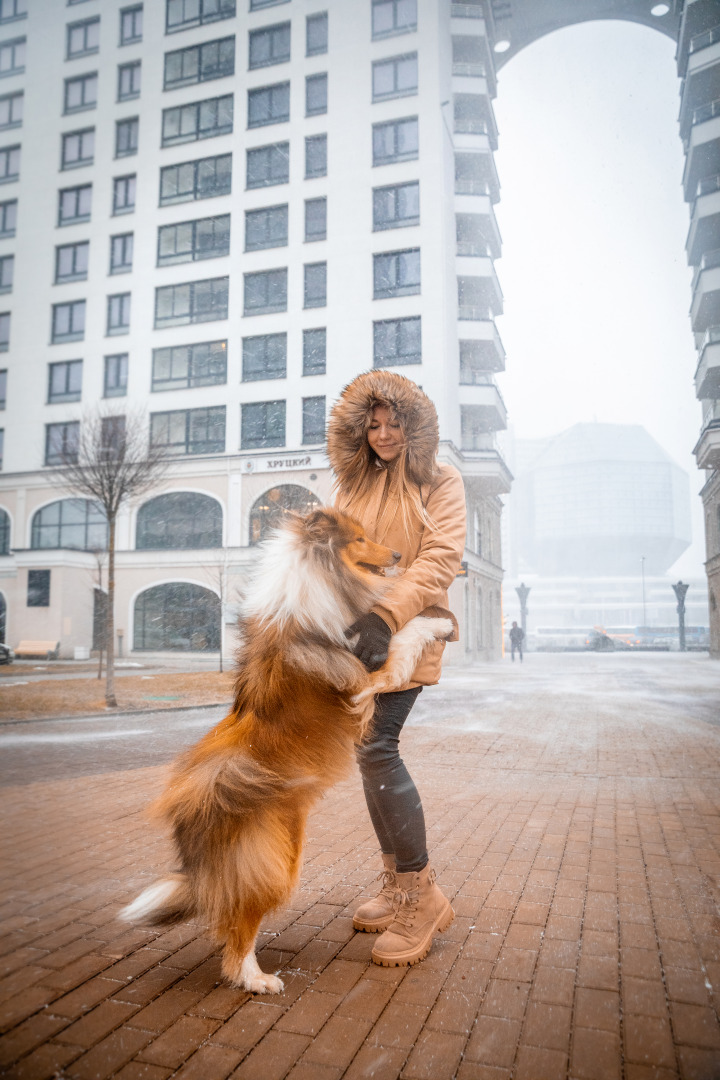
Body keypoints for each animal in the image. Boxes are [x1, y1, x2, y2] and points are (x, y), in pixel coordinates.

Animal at [120, 507, 453, 993]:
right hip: (273, 864)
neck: (318, 577)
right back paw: (257, 980)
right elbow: (403, 634)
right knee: (239, 930)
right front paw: (440, 622)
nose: (395, 554)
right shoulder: (365, 680)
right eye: (358, 539)